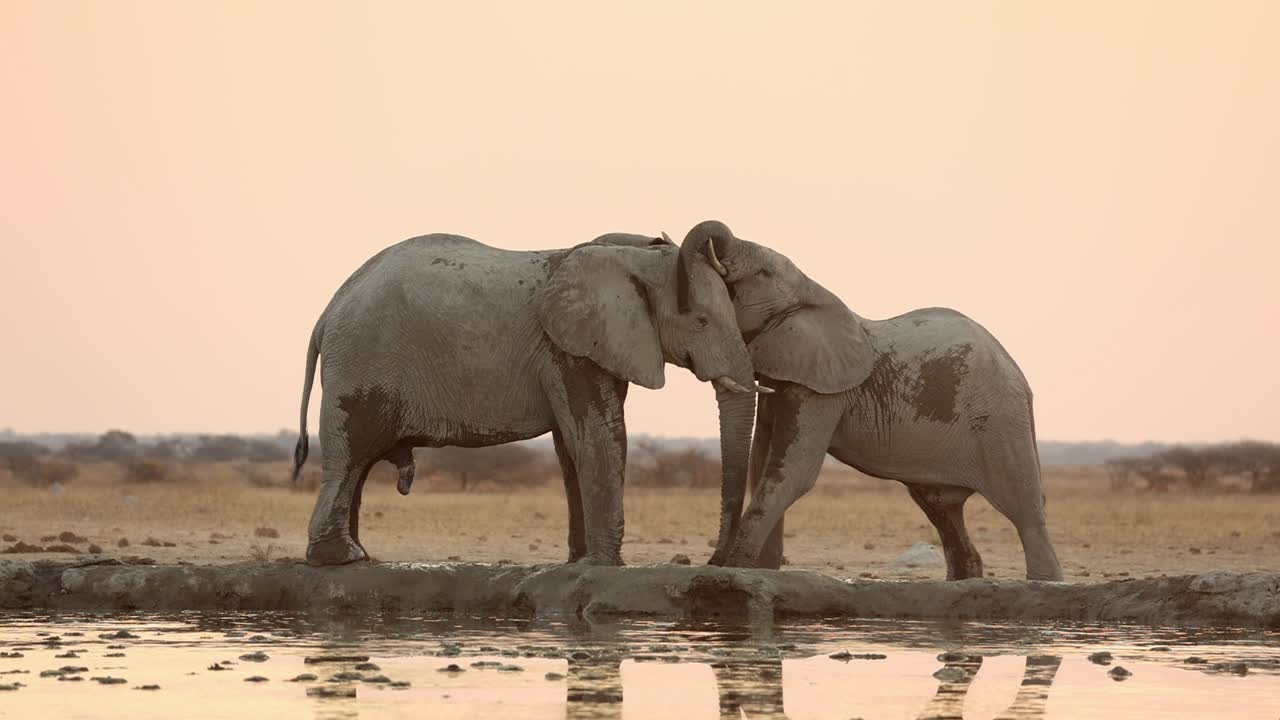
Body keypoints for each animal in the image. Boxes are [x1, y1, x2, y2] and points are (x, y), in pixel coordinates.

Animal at [289, 221, 766, 566]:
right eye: (701, 321)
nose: (713, 562)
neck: (633, 254)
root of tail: (327, 313)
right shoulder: (566, 350)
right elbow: (598, 437)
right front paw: (605, 566)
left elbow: (572, 447)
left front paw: (580, 562)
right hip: (361, 362)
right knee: (351, 456)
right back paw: (342, 560)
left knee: (359, 464)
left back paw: (360, 556)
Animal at [705, 240, 1063, 581]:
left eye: (760, 274)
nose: (711, 562)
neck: (810, 287)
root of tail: (1019, 377)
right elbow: (761, 461)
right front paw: (756, 571)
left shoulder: (822, 393)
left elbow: (793, 473)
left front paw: (734, 571)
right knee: (942, 508)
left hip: (999, 420)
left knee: (1023, 508)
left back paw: (1043, 582)